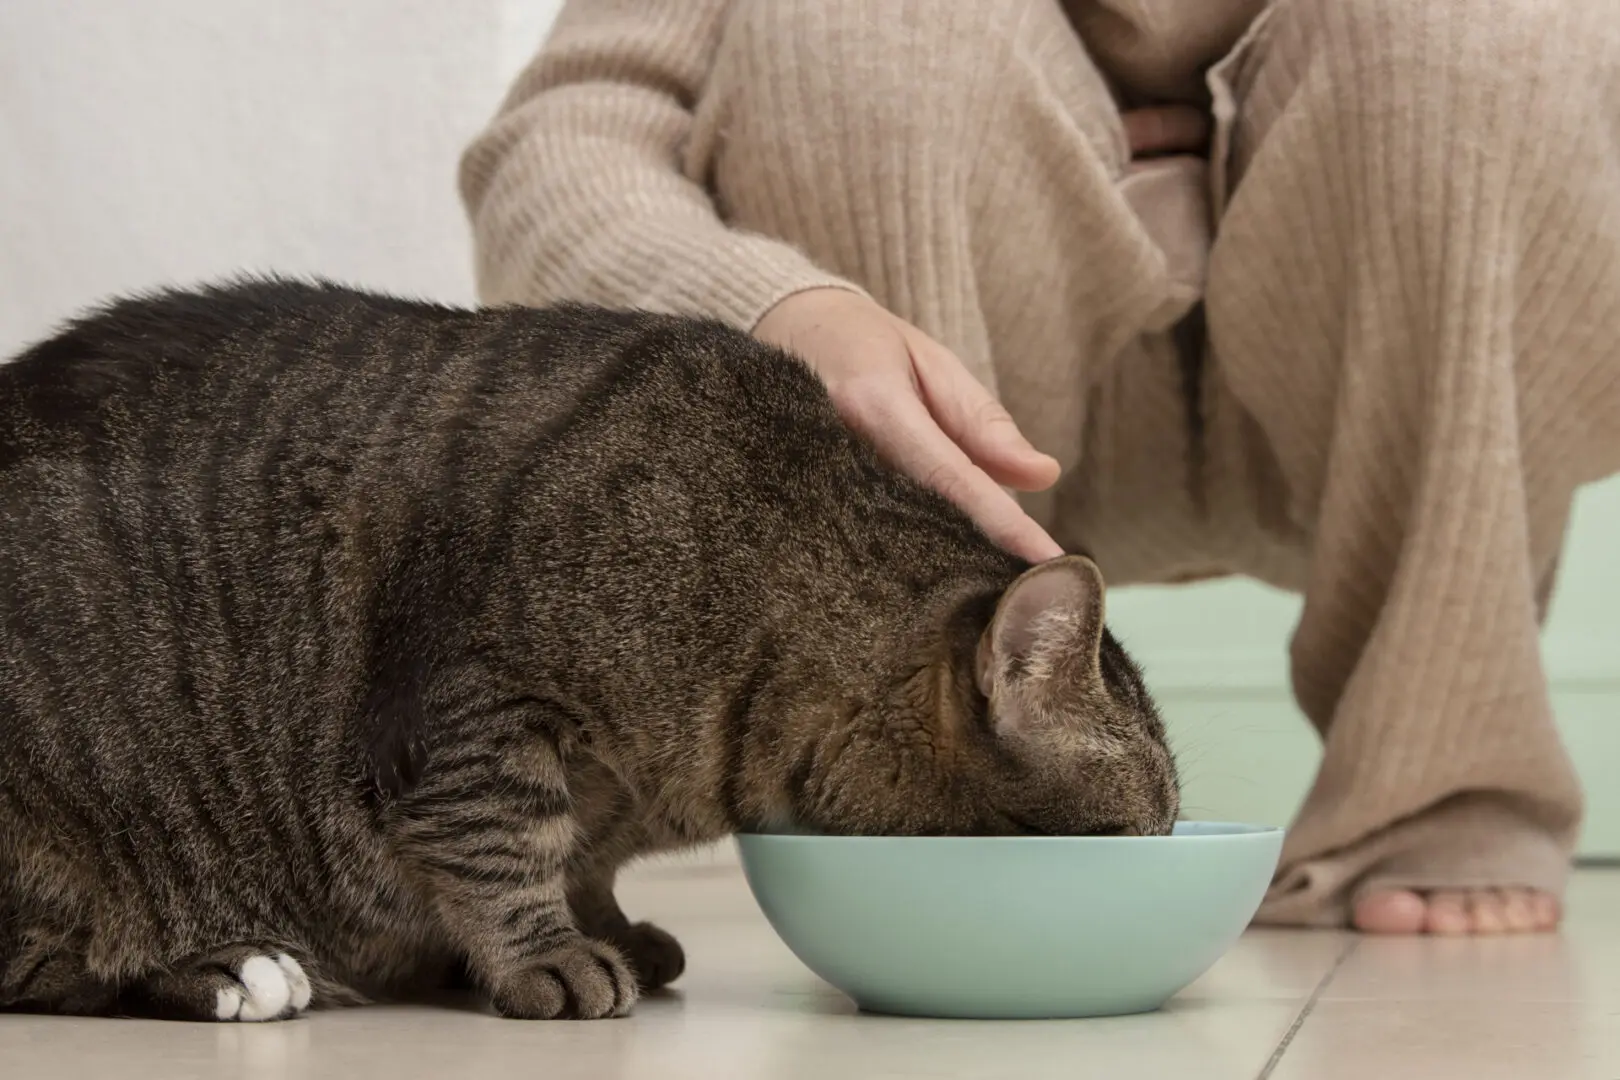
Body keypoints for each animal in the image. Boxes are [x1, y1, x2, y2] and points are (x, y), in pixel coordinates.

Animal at [0, 281, 1172, 1023]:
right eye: (1134, 832)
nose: (1168, 850)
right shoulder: (472, 707)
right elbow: (505, 841)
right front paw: (548, 955)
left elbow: (584, 859)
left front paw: (605, 927)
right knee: (51, 968)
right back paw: (232, 965)